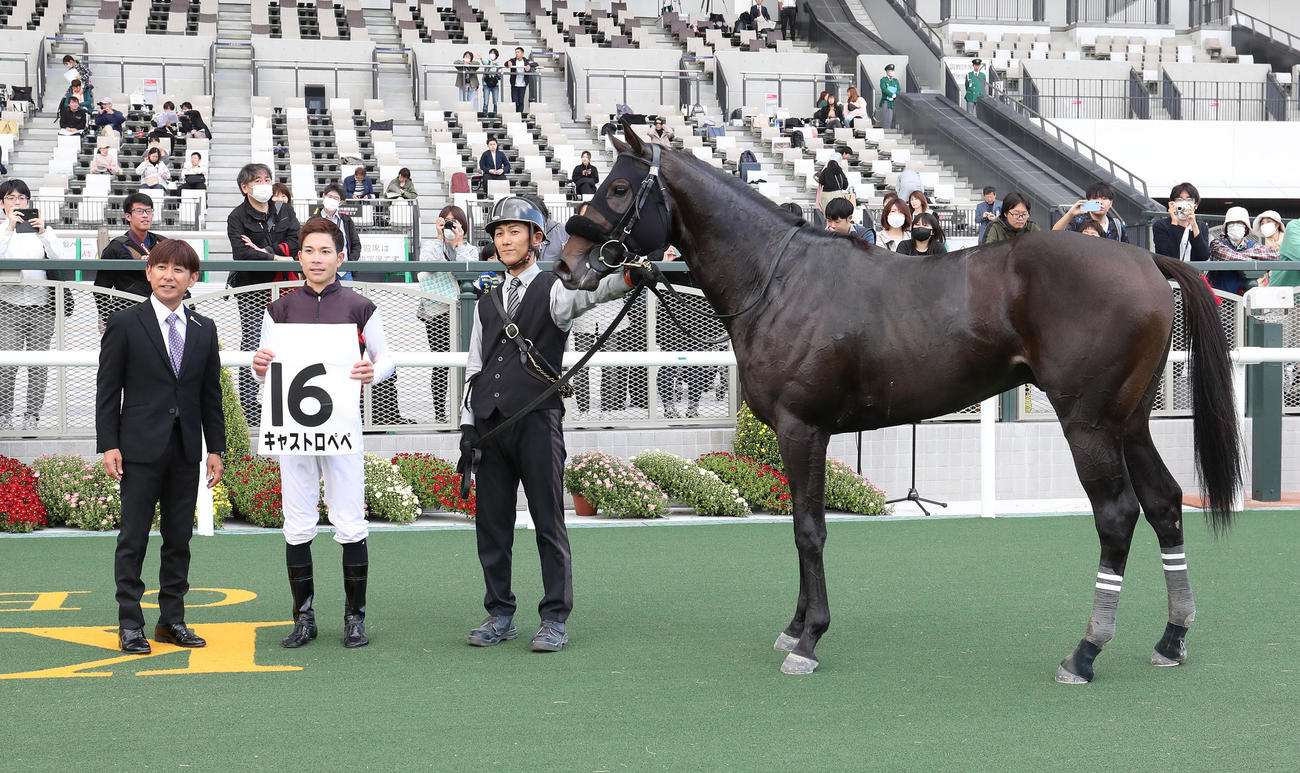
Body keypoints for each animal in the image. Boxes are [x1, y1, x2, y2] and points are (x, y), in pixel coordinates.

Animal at [554, 120, 1241, 682]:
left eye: (620, 190)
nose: (567, 265)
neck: (781, 280)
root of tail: (1147, 261)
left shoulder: (802, 428)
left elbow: (809, 529)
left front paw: (810, 639)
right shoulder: (795, 432)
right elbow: (801, 526)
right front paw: (794, 628)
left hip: (1089, 423)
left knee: (1118, 515)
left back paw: (1086, 652)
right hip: (1130, 421)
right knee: (1165, 503)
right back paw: (1172, 638)